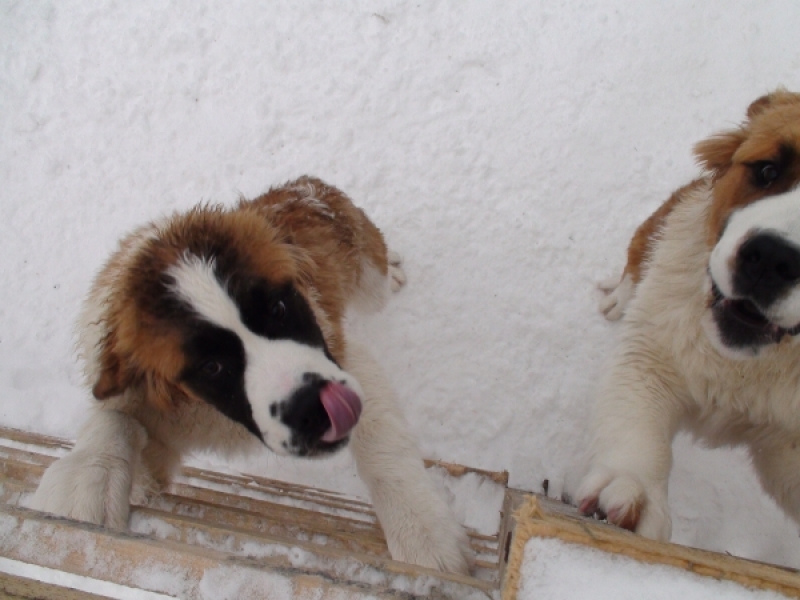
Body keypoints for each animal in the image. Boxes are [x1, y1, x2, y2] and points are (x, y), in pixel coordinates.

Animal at [29, 176, 472, 574]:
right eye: (212, 366)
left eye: (278, 308)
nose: (312, 407)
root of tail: (302, 183)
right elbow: (114, 419)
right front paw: (85, 485)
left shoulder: (344, 359)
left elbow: (382, 445)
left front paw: (422, 532)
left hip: (369, 280)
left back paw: (393, 266)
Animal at [576, 90, 800, 541]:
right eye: (768, 170)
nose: (772, 258)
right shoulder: (651, 352)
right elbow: (637, 424)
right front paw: (631, 486)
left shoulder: (786, 441)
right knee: (634, 264)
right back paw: (616, 301)